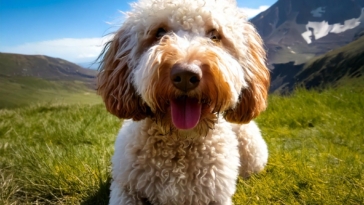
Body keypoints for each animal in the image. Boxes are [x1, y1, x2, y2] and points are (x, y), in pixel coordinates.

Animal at [98, 0, 268, 204]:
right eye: (160, 32)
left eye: (214, 35)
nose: (186, 75)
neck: (179, 140)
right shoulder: (125, 187)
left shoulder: (217, 197)